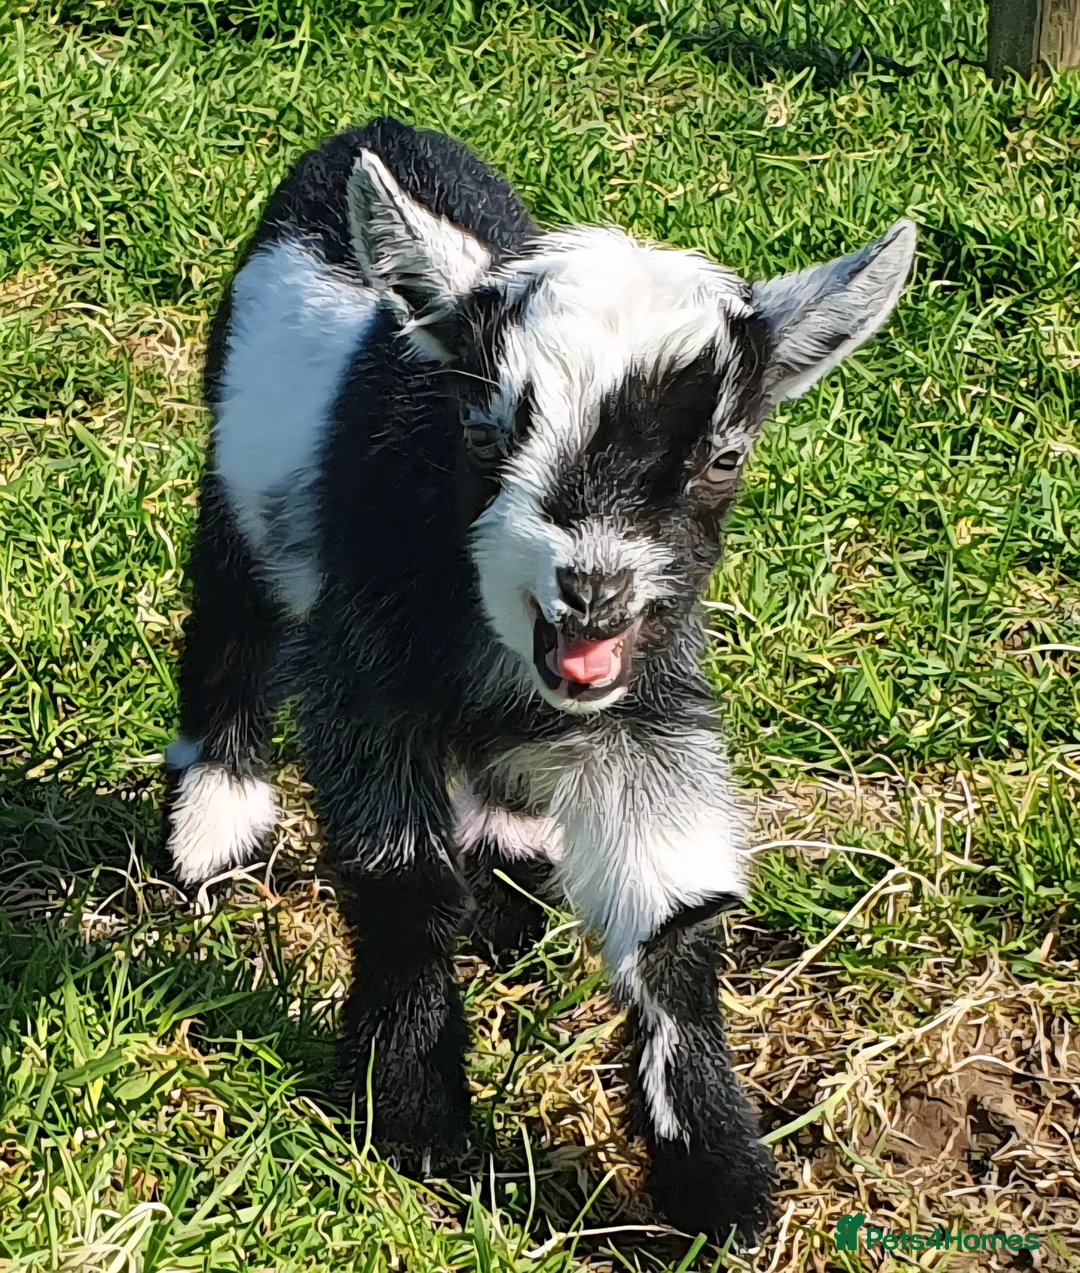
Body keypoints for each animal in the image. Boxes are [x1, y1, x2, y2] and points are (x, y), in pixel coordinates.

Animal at [163, 117, 915, 1244]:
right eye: (484, 432)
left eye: (723, 457)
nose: (593, 590)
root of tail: (378, 130)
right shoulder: (363, 672)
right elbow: (400, 875)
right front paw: (412, 1110)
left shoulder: (645, 698)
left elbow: (675, 916)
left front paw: (719, 1180)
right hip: (237, 486)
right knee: (233, 615)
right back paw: (213, 823)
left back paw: (510, 878)